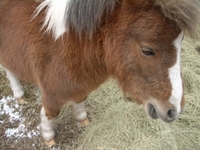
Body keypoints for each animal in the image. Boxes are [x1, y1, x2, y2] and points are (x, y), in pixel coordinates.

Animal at [0, 0, 200, 146]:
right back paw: (19, 94)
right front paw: (49, 137)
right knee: (9, 70)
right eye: (147, 50)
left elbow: (79, 100)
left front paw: (82, 119)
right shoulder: (51, 92)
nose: (174, 110)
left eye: (180, 44)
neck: (68, 43)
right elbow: (51, 112)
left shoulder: (80, 84)